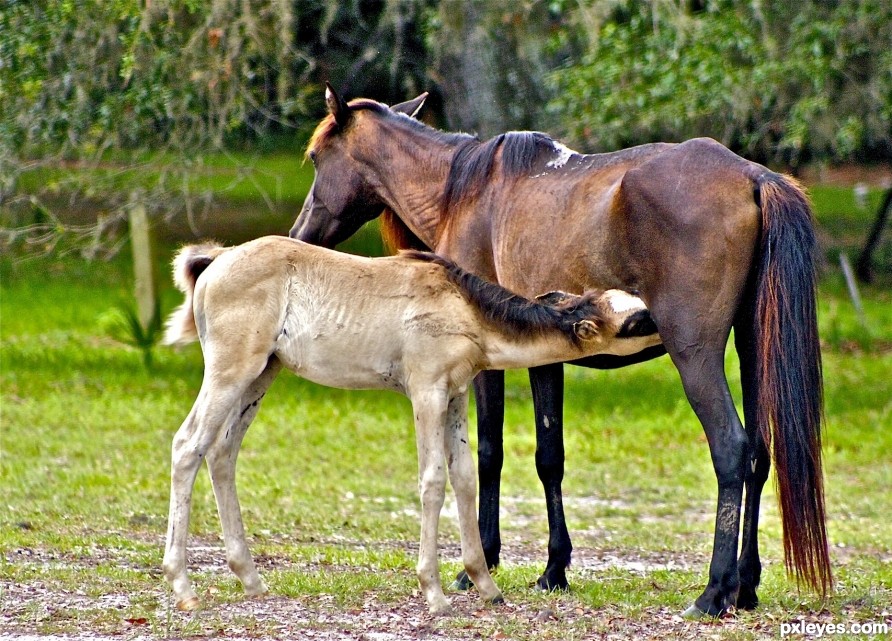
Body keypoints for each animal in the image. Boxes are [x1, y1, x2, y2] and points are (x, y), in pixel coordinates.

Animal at [290, 85, 828, 616]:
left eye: (316, 158)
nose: (299, 235)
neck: (463, 192)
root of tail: (753, 176)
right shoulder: (545, 360)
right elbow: (550, 457)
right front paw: (553, 569)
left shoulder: (486, 365)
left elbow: (489, 454)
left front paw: (482, 561)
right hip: (753, 349)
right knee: (758, 455)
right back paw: (745, 586)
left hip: (695, 356)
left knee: (732, 450)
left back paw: (715, 591)